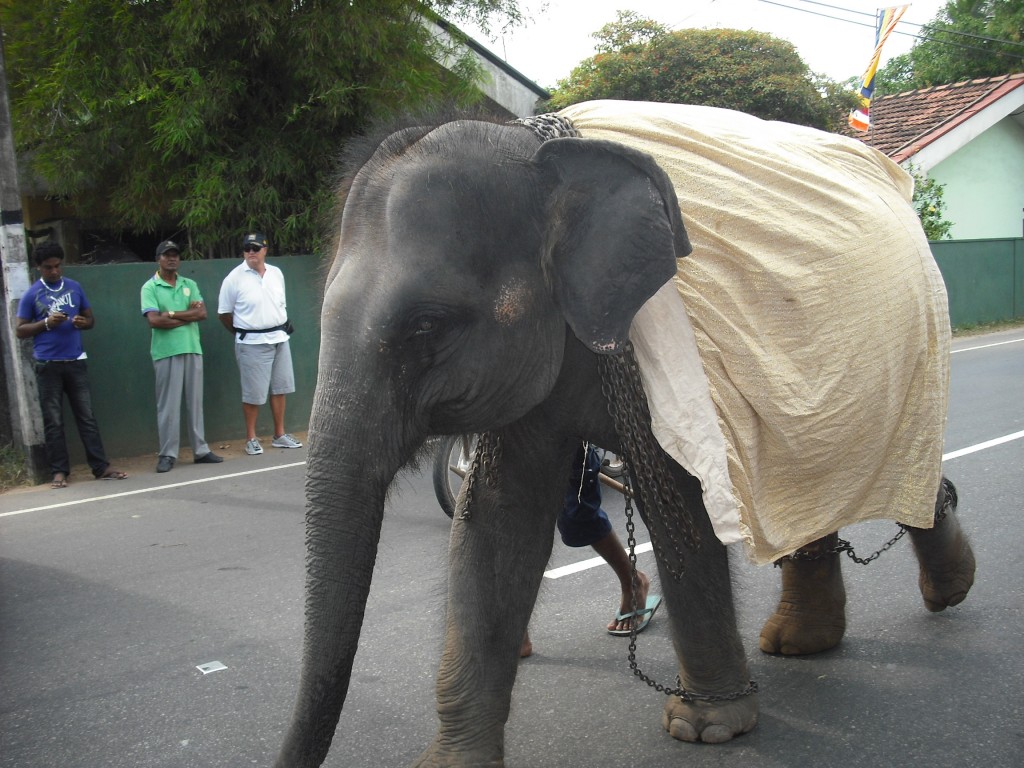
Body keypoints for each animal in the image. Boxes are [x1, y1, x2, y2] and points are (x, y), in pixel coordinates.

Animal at [274, 101, 976, 767]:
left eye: (426, 325)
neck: (541, 152)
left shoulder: (662, 357)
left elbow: (678, 503)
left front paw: (706, 729)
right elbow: (498, 518)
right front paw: (449, 763)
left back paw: (945, 587)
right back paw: (801, 643)